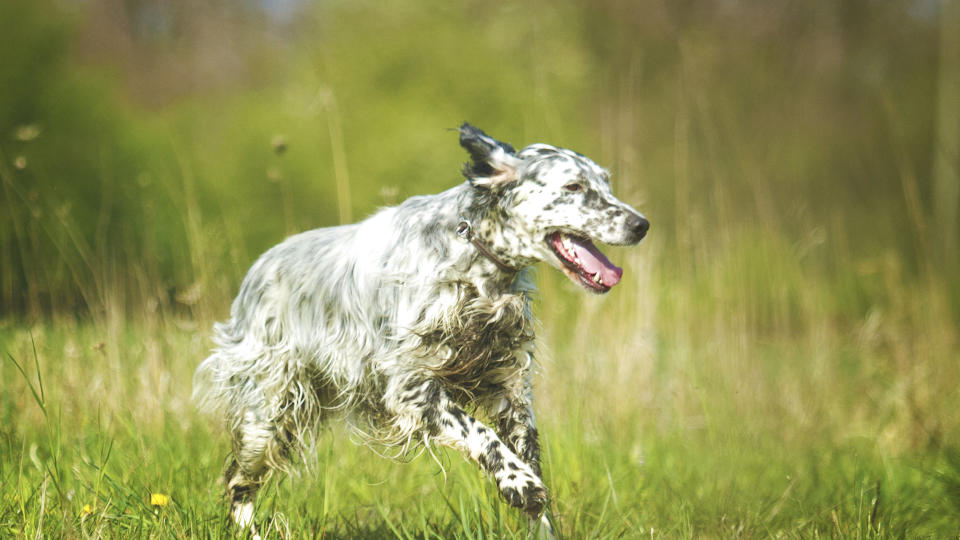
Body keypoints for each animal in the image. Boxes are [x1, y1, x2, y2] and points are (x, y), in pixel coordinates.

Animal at [191, 123, 648, 536]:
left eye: (606, 183)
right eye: (573, 186)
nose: (641, 224)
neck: (475, 271)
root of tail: (257, 270)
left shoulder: (511, 389)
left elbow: (526, 461)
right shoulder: (411, 387)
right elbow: (481, 434)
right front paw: (518, 483)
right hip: (267, 414)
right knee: (238, 482)